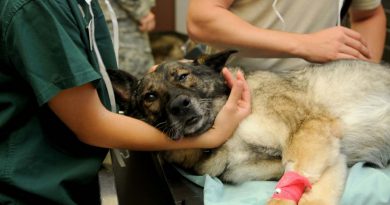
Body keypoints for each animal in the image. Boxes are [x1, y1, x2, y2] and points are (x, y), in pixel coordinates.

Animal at [108, 50, 390, 205]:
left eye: (182, 76)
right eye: (150, 96)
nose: (180, 105)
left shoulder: (308, 132)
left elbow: (292, 187)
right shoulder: (328, 156)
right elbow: (310, 191)